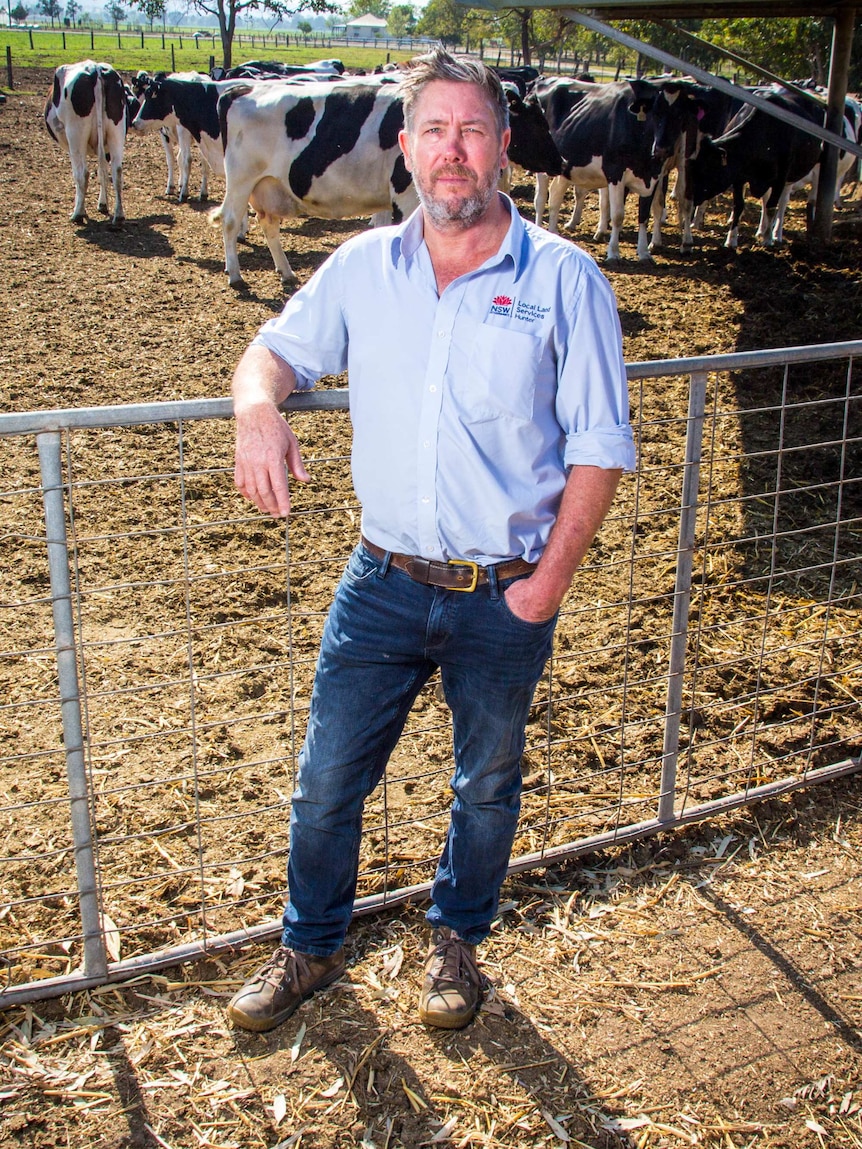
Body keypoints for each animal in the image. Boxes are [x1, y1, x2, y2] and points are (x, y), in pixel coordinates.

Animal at [45, 57, 129, 226]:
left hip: (76, 135)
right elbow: (102, 172)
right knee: (117, 172)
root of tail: (95, 69)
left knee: (82, 173)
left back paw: (77, 214)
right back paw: (118, 215)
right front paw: (102, 204)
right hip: (116, 132)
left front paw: (82, 209)